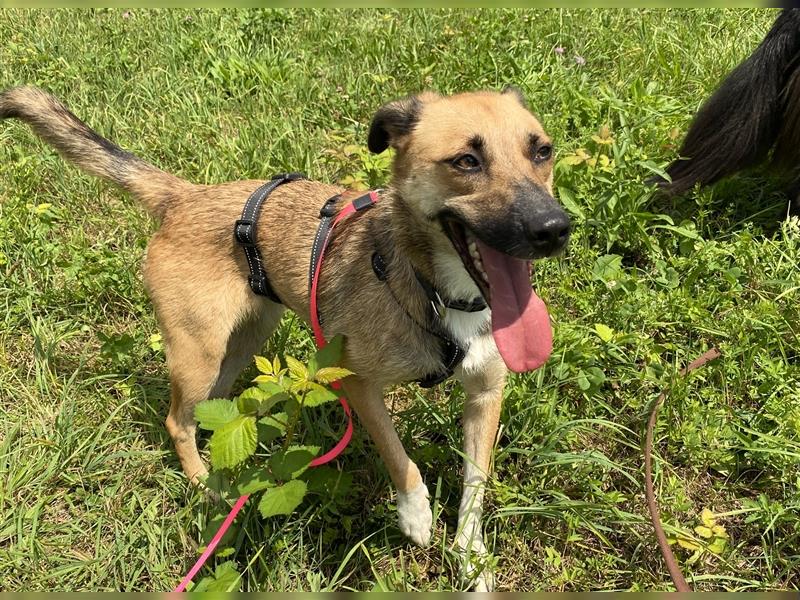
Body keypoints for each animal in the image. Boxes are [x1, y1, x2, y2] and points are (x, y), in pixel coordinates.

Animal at [3, 85, 572, 592]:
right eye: (466, 161)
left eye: (542, 151)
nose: (554, 228)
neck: (434, 288)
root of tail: (185, 196)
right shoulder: (359, 384)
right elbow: (399, 457)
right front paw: (415, 515)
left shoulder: (486, 393)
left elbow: (475, 485)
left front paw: (471, 559)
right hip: (199, 351)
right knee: (176, 421)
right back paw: (205, 485)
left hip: (244, 343)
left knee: (209, 410)